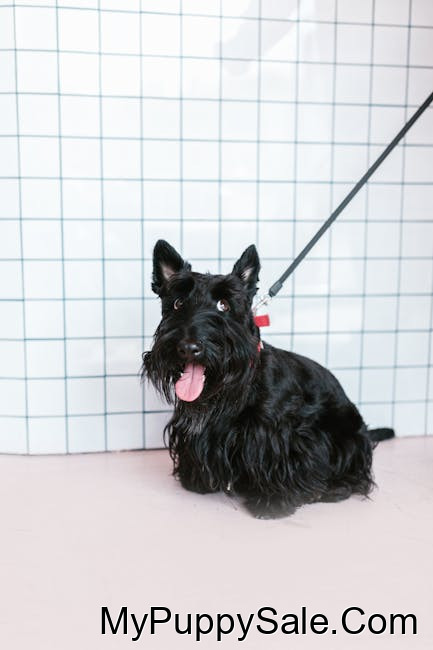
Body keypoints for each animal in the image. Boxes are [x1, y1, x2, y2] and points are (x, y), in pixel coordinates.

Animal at [142, 240, 394, 518]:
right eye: (177, 303)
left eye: (224, 305)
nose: (188, 347)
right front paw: (197, 479)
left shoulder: (276, 434)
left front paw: (274, 500)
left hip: (346, 439)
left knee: (357, 476)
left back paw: (330, 489)